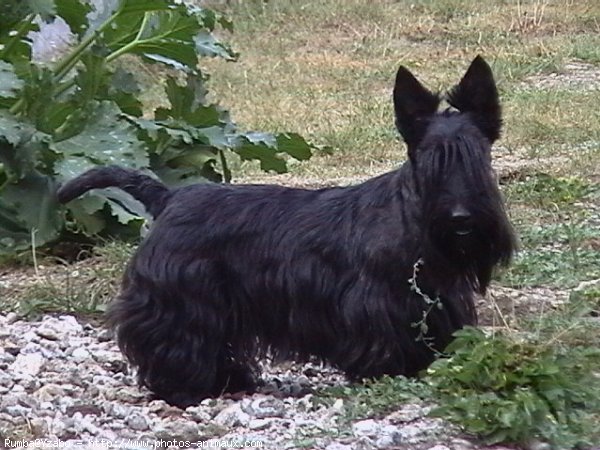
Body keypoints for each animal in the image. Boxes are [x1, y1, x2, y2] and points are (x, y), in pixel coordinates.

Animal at [57, 55, 516, 408]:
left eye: (479, 157)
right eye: (430, 159)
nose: (461, 219)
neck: (414, 223)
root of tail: (170, 197)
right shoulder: (375, 306)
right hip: (178, 300)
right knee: (173, 340)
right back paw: (184, 388)